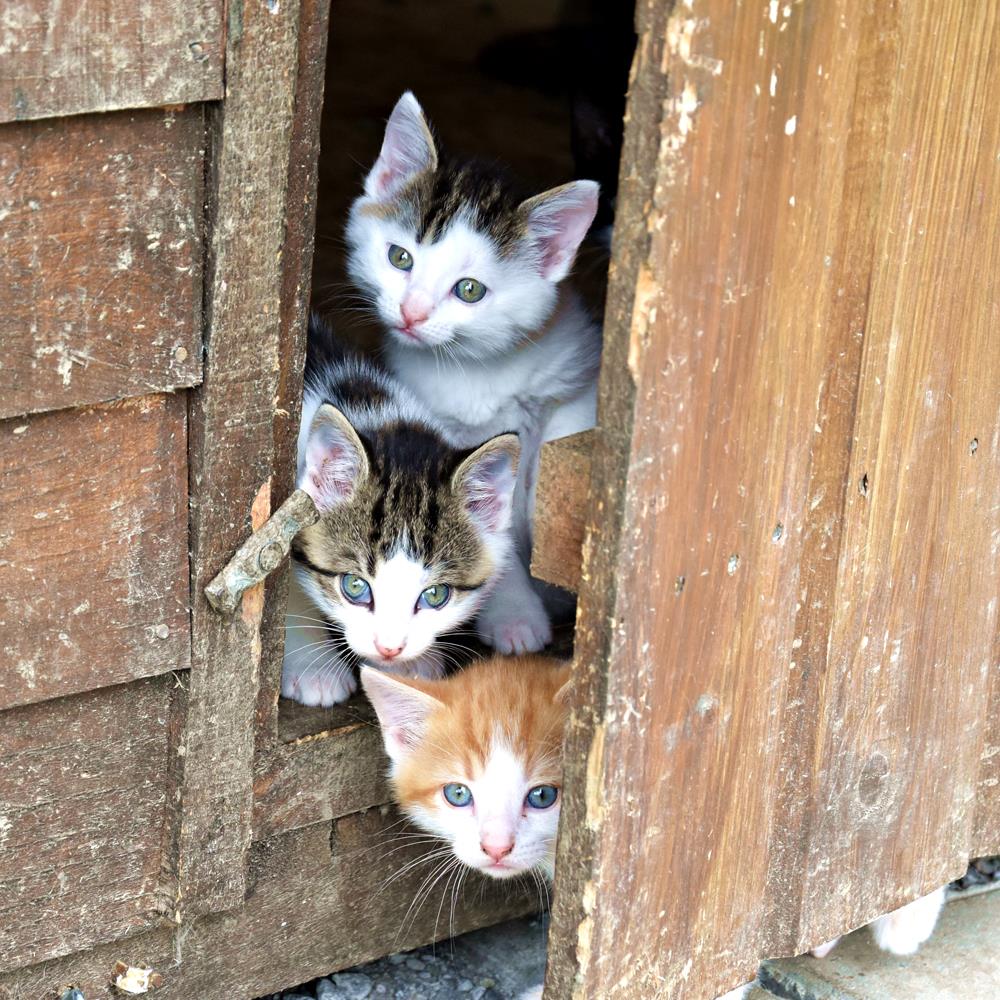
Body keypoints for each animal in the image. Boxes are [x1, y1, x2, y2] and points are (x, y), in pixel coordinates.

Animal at [348, 92, 596, 656]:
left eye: (469, 290)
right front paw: (516, 616)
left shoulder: (573, 379)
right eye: (399, 258)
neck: (477, 368)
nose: (412, 312)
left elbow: (560, 458)